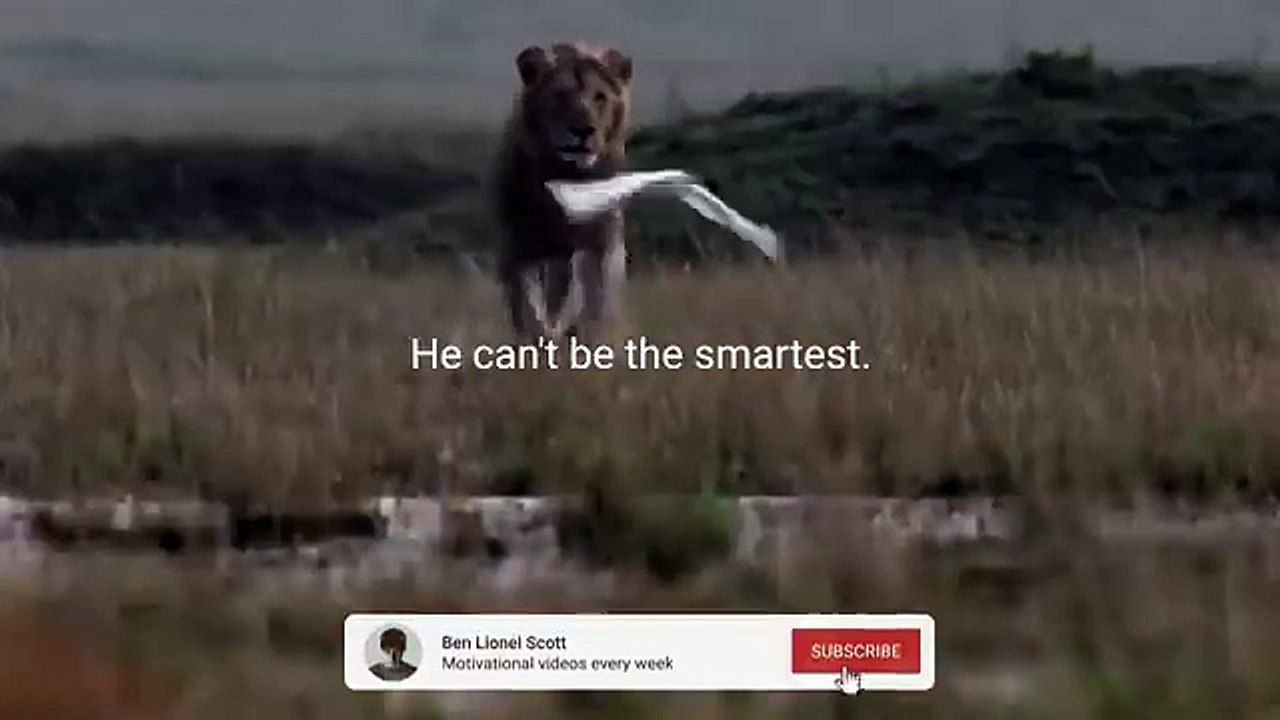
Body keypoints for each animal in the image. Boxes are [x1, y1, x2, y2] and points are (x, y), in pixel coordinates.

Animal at [490, 41, 634, 346]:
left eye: (600, 97)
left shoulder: (599, 244)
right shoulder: (518, 246)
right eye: (558, 95)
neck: (568, 176)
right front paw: (544, 336)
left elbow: (591, 300)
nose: (583, 130)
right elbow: (529, 305)